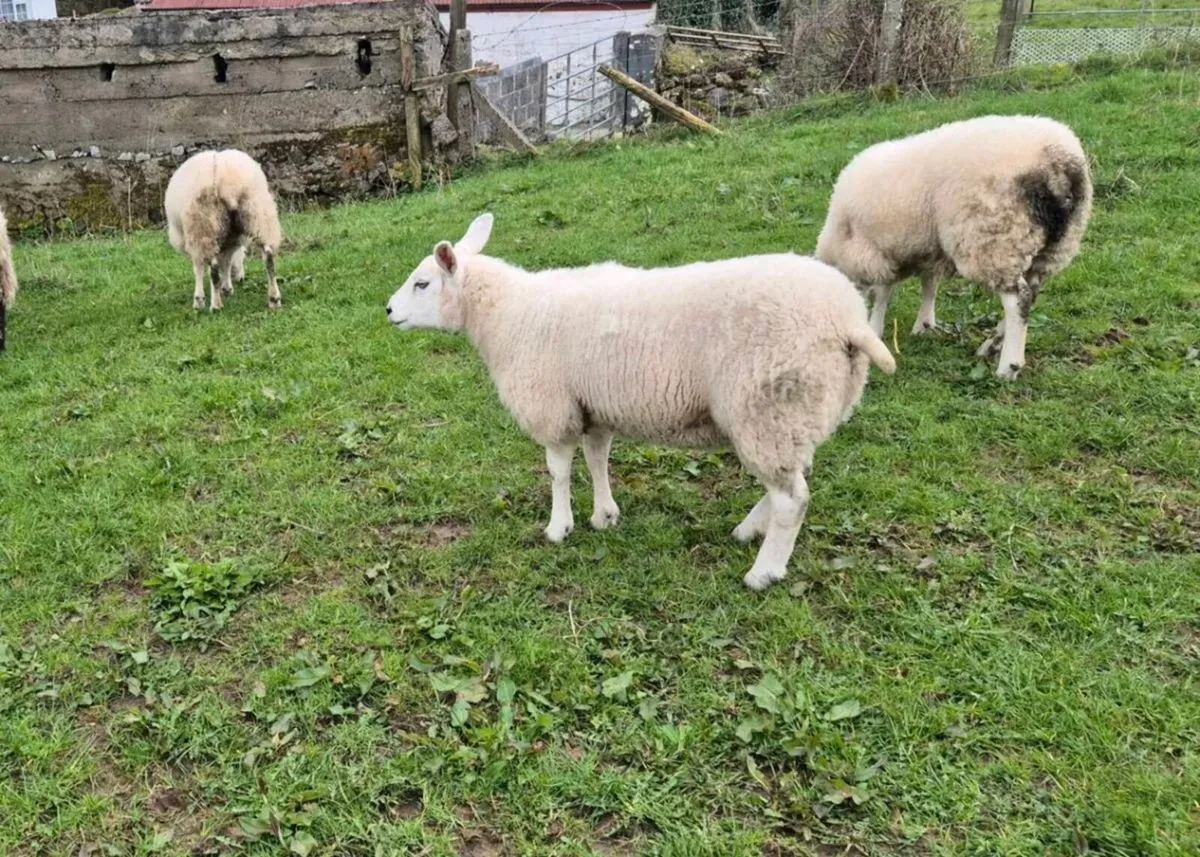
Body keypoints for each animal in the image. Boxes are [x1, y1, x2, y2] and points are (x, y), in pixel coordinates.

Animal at [164, 149, 283, 312]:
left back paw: (215, 305)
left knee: (213, 269)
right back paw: (274, 299)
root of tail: (228, 182)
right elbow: (226, 263)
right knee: (269, 256)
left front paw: (199, 300)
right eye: (243, 257)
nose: (241, 279)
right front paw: (226, 288)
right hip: (258, 213)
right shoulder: (231, 239)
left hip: (204, 226)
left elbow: (199, 268)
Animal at [385, 214, 896, 591]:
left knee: (793, 499)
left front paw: (558, 527)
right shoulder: (592, 405)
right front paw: (604, 515)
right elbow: (597, 460)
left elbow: (558, 472)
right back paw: (750, 530)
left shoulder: (553, 407)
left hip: (767, 407)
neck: (507, 315)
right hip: (798, 415)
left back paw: (763, 571)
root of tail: (849, 321)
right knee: (791, 482)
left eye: (422, 284)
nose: (388, 311)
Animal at [815, 115, 1092, 380]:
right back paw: (990, 346)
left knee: (1019, 300)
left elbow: (883, 292)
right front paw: (924, 324)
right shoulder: (922, 249)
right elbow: (928, 286)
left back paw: (1008, 366)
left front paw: (875, 327)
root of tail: (1059, 169)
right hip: (1051, 248)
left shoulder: (873, 251)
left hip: (995, 241)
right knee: (1031, 292)